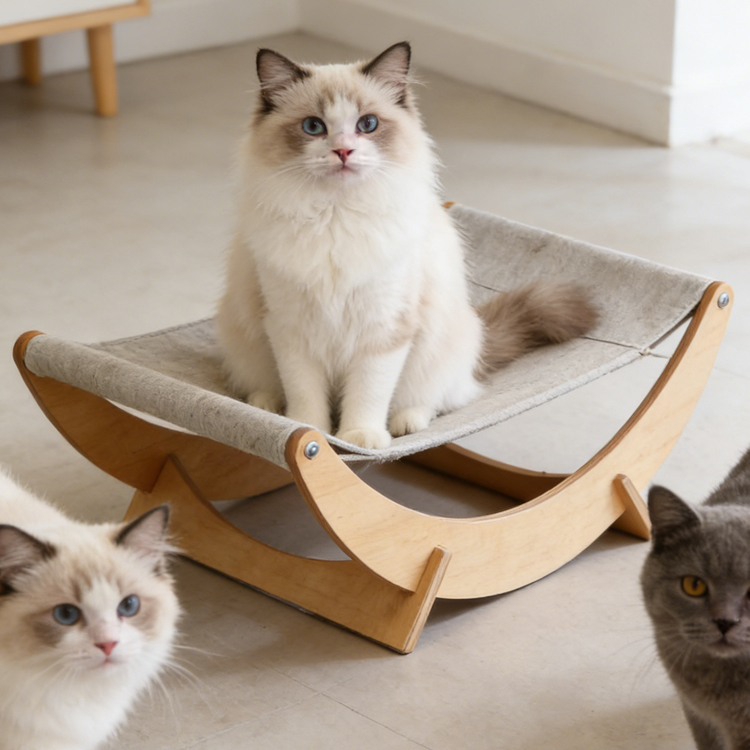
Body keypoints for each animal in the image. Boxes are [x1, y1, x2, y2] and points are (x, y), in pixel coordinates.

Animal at [215, 41, 597, 450]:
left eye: (367, 125)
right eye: (313, 127)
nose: (344, 152)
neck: (336, 215)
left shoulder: (384, 329)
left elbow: (368, 395)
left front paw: (360, 438)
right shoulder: (291, 329)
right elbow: (305, 398)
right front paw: (310, 430)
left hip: (438, 352)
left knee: (436, 401)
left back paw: (405, 424)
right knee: (266, 386)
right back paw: (267, 405)